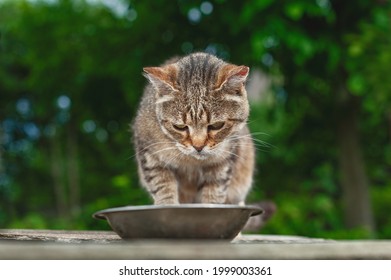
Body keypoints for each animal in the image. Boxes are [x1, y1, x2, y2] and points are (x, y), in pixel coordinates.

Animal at [133, 52, 258, 206]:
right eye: (180, 127)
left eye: (216, 126)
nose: (198, 147)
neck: (191, 161)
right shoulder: (149, 154)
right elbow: (162, 187)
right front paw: (167, 205)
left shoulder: (224, 163)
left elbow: (213, 195)